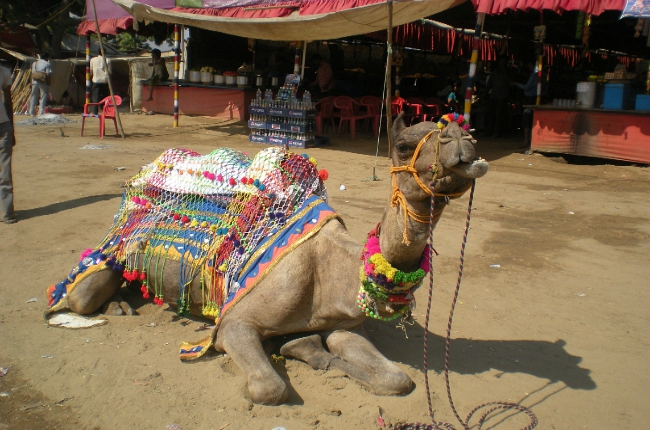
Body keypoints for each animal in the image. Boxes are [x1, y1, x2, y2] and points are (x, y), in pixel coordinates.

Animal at [45, 113, 488, 405]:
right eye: (403, 145)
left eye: (461, 130)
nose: (461, 138)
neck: (336, 271)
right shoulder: (234, 323)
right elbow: (268, 388)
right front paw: (298, 350)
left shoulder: (346, 325)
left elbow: (397, 380)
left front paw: (303, 346)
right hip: (112, 251)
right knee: (82, 294)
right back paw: (115, 304)